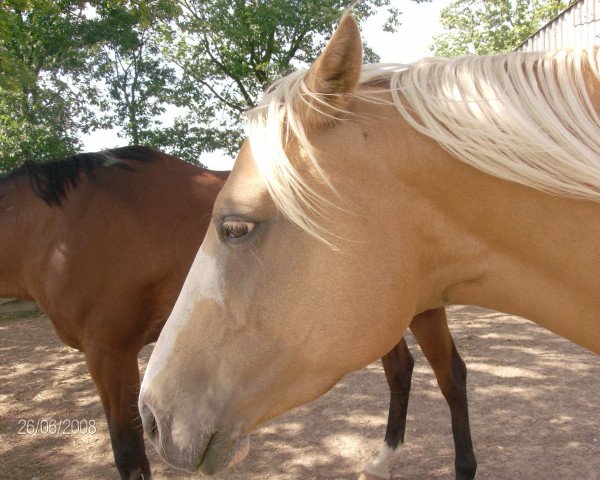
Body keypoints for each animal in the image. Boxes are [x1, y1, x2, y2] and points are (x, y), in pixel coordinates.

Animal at [1, 147, 478, 480]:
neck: (64, 228)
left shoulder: (109, 352)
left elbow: (128, 452)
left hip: (422, 311)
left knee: (451, 376)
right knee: (400, 371)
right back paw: (383, 460)